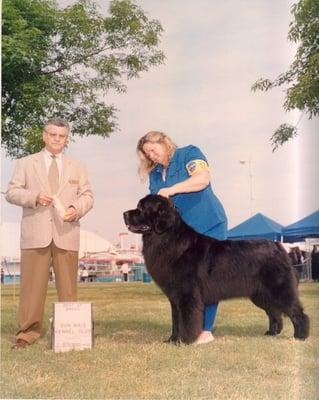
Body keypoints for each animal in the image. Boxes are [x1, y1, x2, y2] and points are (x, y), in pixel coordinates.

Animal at [124, 195, 312, 344]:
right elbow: (175, 320)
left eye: (141, 208)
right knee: (274, 313)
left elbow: (187, 320)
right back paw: (272, 333)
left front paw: (185, 341)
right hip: (261, 294)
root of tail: (279, 246)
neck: (166, 239)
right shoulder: (175, 297)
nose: (124, 214)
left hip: (279, 290)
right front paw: (172, 340)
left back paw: (300, 336)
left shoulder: (187, 295)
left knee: (297, 312)